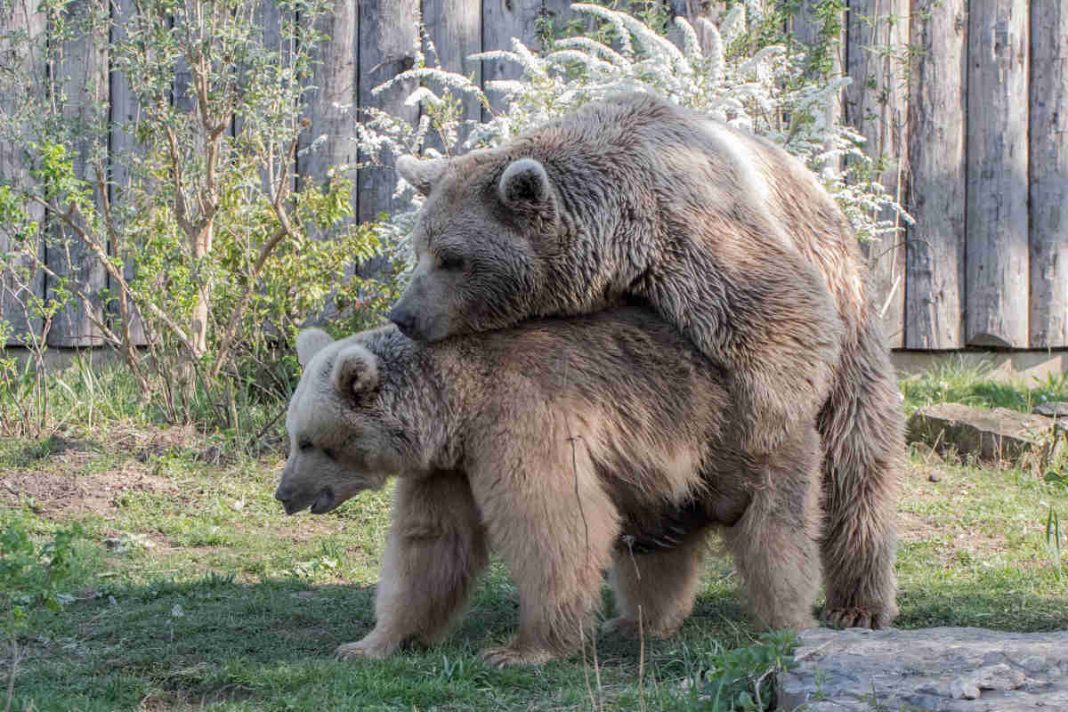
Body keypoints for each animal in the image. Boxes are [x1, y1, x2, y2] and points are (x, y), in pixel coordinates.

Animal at [277, 307, 824, 670]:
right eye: (293, 435)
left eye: (308, 441)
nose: (284, 493)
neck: (455, 403)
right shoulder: (447, 468)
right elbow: (430, 546)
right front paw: (369, 643)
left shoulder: (521, 420)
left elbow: (551, 526)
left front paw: (520, 649)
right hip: (661, 477)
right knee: (656, 550)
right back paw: (639, 621)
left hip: (743, 438)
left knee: (775, 537)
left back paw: (788, 618)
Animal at [393, 90, 901, 627]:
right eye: (419, 248)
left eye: (452, 258)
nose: (403, 314)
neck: (618, 239)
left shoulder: (702, 240)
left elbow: (781, 331)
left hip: (847, 300)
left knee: (857, 453)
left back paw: (859, 604)